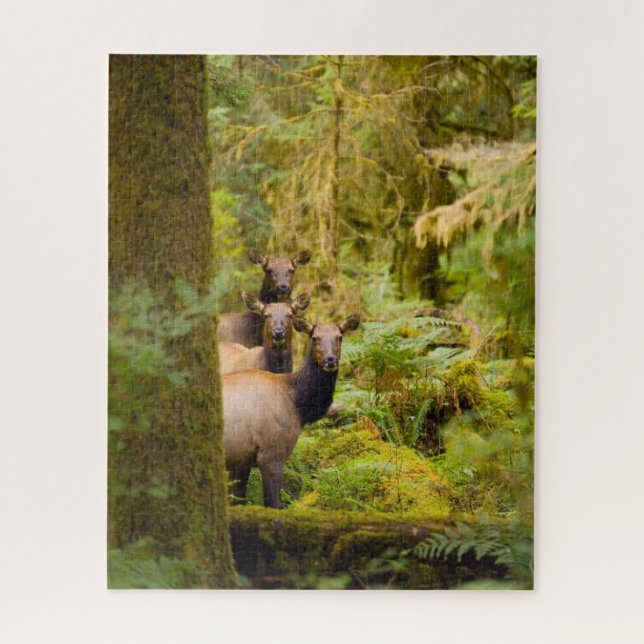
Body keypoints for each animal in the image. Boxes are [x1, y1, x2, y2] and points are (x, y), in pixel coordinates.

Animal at [222, 312, 361, 508]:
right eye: (314, 337)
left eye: (340, 337)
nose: (330, 360)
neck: (298, 403)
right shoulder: (272, 452)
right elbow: (273, 504)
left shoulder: (241, 459)